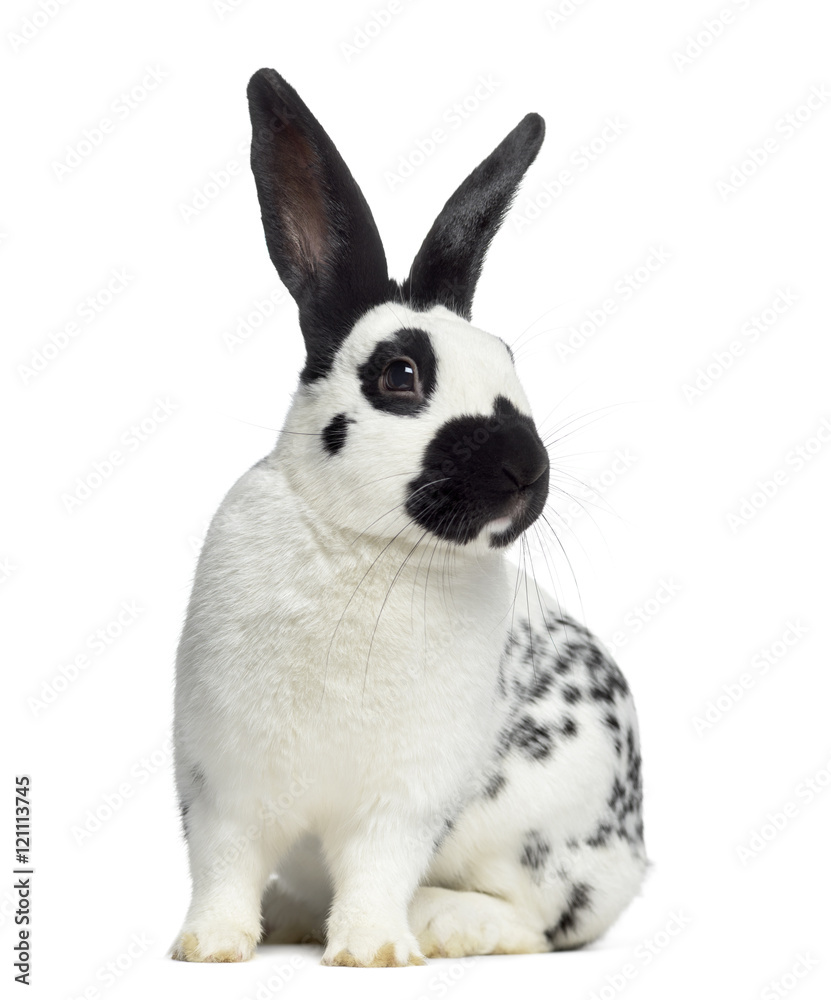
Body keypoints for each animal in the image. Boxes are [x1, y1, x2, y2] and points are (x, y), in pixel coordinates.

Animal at [171, 67, 646, 967]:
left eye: (508, 363)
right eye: (399, 374)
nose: (525, 470)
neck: (361, 546)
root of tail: (633, 856)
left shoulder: (400, 799)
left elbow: (377, 869)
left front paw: (371, 952)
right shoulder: (222, 782)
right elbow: (223, 866)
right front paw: (210, 948)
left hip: (539, 833)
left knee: (541, 921)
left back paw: (444, 923)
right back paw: (291, 915)